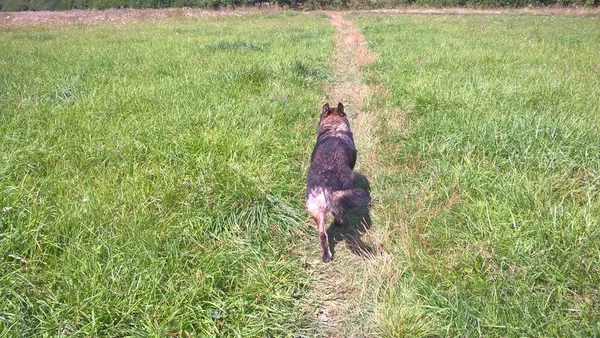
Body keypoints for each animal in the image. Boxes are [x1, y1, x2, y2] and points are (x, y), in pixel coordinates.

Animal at [310, 101, 370, 262]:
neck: (333, 127)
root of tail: (325, 184)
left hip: (315, 209)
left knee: (322, 234)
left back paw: (326, 256)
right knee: (336, 213)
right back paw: (340, 222)